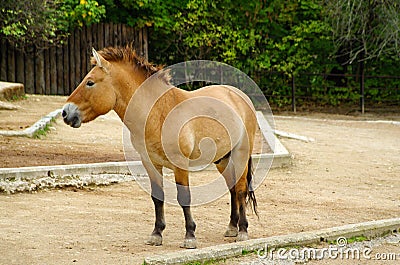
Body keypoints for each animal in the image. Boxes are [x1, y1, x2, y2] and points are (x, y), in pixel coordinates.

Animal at [61, 46, 258, 248]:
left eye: (90, 82)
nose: (65, 113)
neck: (158, 113)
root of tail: (240, 97)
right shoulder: (151, 163)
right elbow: (157, 197)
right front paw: (156, 234)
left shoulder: (180, 165)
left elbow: (184, 197)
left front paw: (190, 236)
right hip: (222, 160)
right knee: (233, 188)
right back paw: (232, 228)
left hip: (240, 156)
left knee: (240, 190)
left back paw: (242, 231)